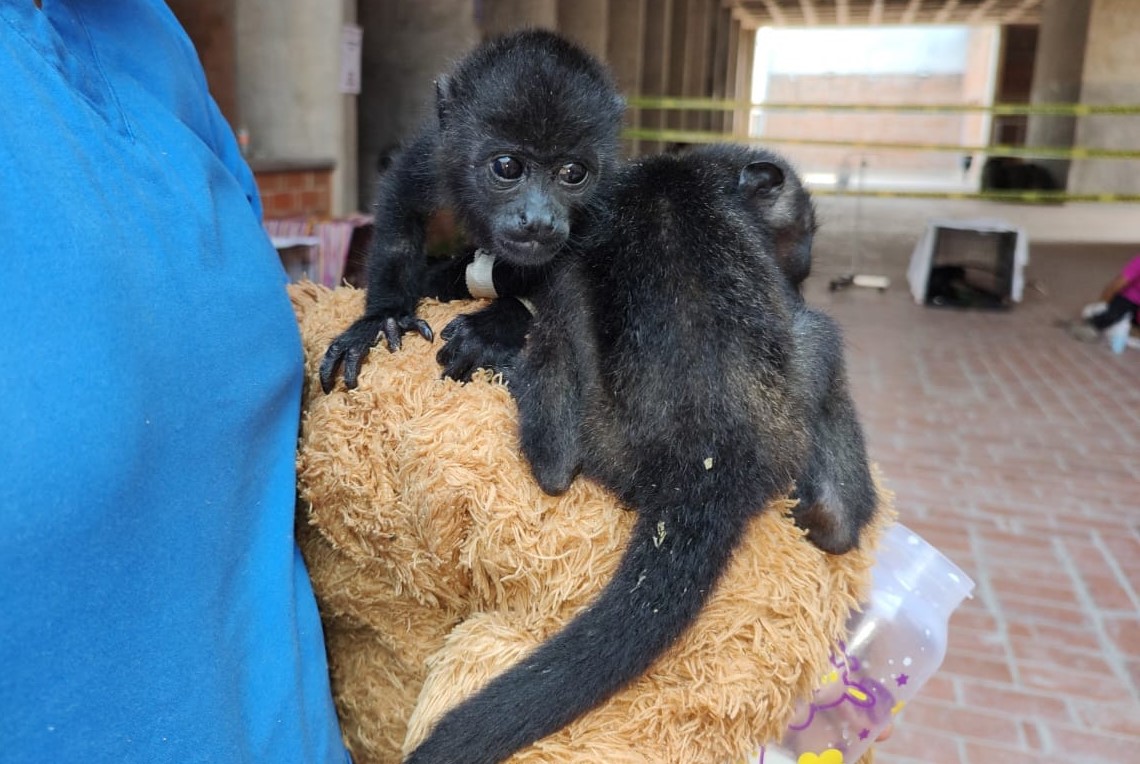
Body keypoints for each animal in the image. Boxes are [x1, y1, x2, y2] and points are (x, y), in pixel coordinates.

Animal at [319, 28, 624, 394]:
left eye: (573, 172)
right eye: (507, 166)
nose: (539, 220)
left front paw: (493, 327)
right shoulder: (434, 154)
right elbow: (401, 202)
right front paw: (384, 316)